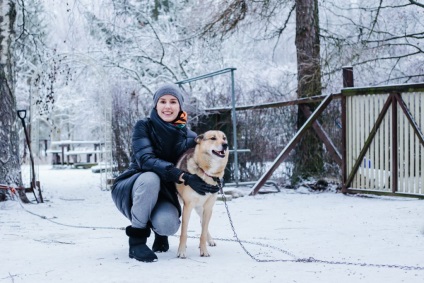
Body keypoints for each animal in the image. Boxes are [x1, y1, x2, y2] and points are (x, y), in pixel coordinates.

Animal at [175, 131, 229, 260]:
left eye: (224, 138)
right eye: (213, 138)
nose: (225, 145)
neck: (207, 173)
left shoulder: (208, 208)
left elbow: (203, 232)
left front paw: (204, 251)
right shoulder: (188, 206)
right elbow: (184, 232)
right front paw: (181, 252)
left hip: (201, 208)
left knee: (203, 223)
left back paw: (210, 241)